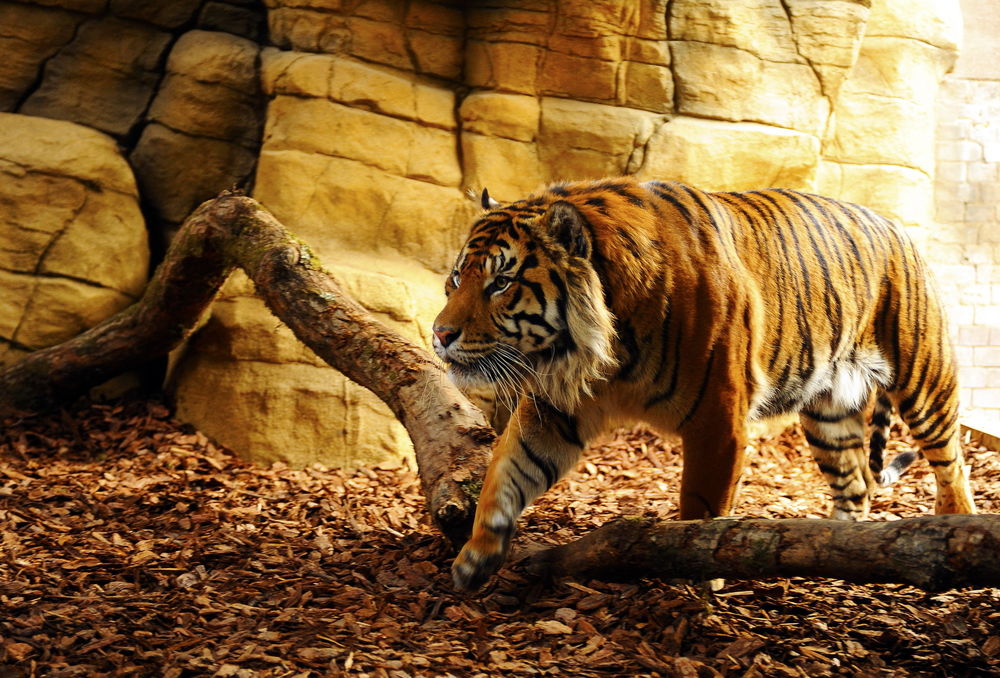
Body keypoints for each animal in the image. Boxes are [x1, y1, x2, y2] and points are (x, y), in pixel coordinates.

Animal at [432, 177, 977, 591]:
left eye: (500, 283)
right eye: (456, 278)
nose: (439, 334)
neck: (599, 349)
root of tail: (897, 227)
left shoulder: (717, 420)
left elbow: (698, 509)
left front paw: (691, 580)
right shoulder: (554, 409)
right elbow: (506, 471)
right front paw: (476, 556)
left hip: (924, 380)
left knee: (952, 463)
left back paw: (952, 524)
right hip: (829, 412)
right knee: (856, 484)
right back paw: (834, 549)